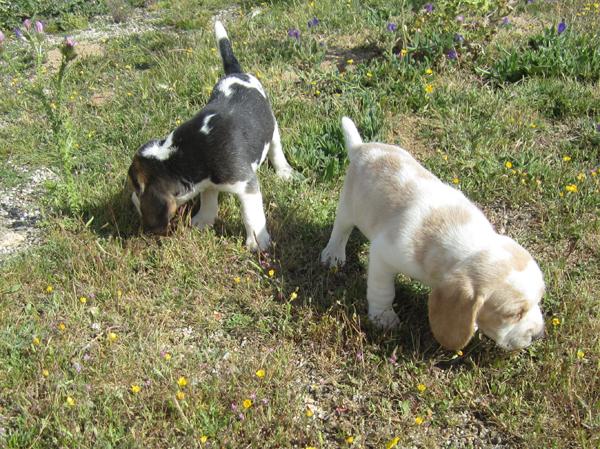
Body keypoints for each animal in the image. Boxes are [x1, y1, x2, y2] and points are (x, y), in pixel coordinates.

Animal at [127, 21, 292, 250]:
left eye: (136, 186)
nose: (132, 201)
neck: (181, 154)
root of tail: (236, 73)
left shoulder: (246, 185)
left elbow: (251, 216)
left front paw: (257, 243)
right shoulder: (206, 181)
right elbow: (208, 196)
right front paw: (204, 221)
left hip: (273, 127)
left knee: (276, 148)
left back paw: (284, 171)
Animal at [322, 117, 548, 352]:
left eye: (539, 299)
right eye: (513, 314)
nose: (539, 335)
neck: (467, 244)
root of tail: (361, 148)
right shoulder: (383, 255)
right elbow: (382, 291)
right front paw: (383, 318)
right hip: (348, 208)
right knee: (341, 229)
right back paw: (333, 255)